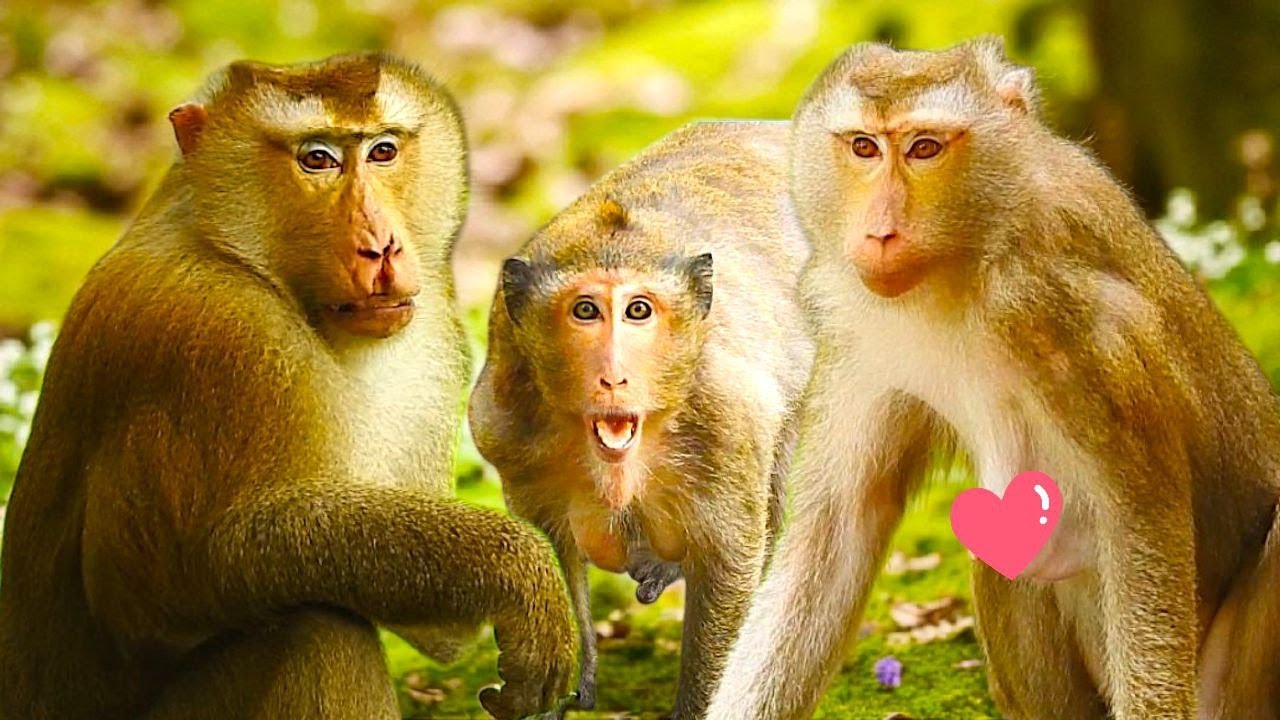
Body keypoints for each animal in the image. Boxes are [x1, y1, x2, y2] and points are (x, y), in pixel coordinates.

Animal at [0, 53, 576, 720]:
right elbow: (169, 580)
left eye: (382, 150)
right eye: (317, 158)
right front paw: (518, 568)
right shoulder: (220, 339)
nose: (381, 247)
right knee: (318, 632)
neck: (240, 254)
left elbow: (442, 633)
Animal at [468, 121, 815, 718]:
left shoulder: (726, 416)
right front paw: (558, 675)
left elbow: (730, 561)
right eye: (586, 310)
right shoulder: (505, 429)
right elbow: (549, 549)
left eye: (638, 311)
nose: (614, 375)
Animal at [706, 38, 1280, 720]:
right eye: (864, 147)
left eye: (925, 148)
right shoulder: (858, 332)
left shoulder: (1066, 312)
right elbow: (841, 529)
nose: (880, 230)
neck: (972, 257)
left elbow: (1139, 515)